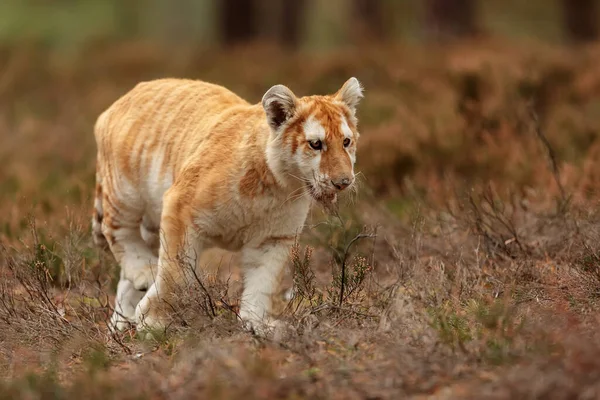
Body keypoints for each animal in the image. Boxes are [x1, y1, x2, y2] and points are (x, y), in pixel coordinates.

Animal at [91, 76, 364, 332]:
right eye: (316, 144)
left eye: (346, 142)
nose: (343, 182)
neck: (279, 185)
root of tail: (122, 99)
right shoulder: (180, 208)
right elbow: (176, 272)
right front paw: (154, 323)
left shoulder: (273, 239)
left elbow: (262, 283)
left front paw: (257, 326)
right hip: (124, 194)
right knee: (117, 231)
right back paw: (143, 274)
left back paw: (119, 325)